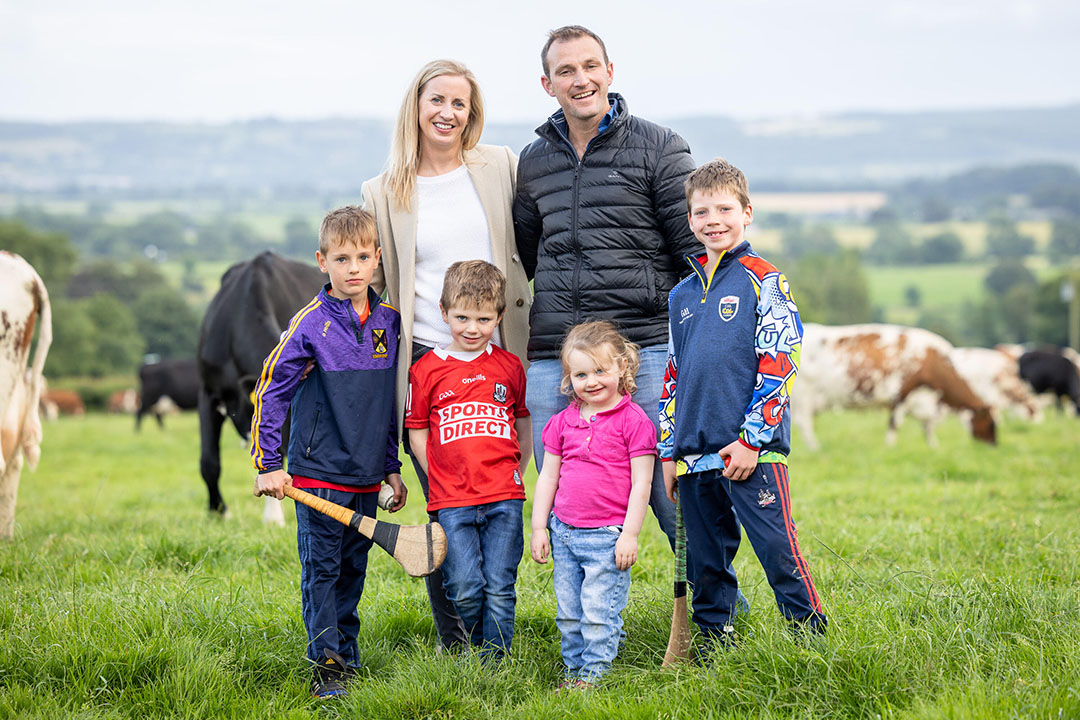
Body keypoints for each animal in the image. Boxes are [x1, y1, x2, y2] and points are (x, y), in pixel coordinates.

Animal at [794, 325, 993, 451]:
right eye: (990, 423)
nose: (994, 444)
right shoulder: (903, 394)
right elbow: (895, 424)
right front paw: (890, 446)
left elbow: (927, 426)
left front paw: (934, 446)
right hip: (803, 397)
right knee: (805, 424)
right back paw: (815, 448)